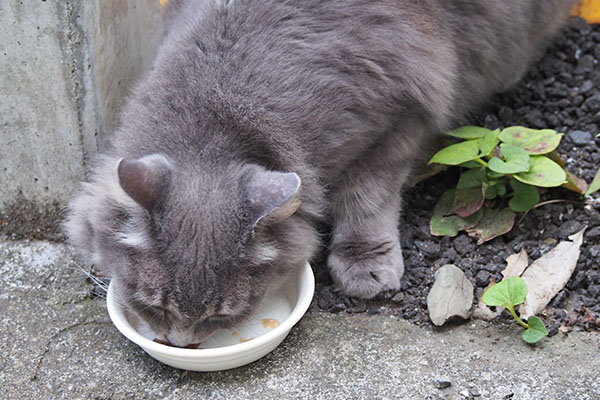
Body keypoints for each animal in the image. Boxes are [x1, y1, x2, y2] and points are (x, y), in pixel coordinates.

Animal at [63, 0, 576, 346]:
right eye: (154, 304)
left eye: (222, 315)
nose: (180, 342)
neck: (213, 114)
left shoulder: (398, 116)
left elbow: (367, 198)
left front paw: (365, 264)